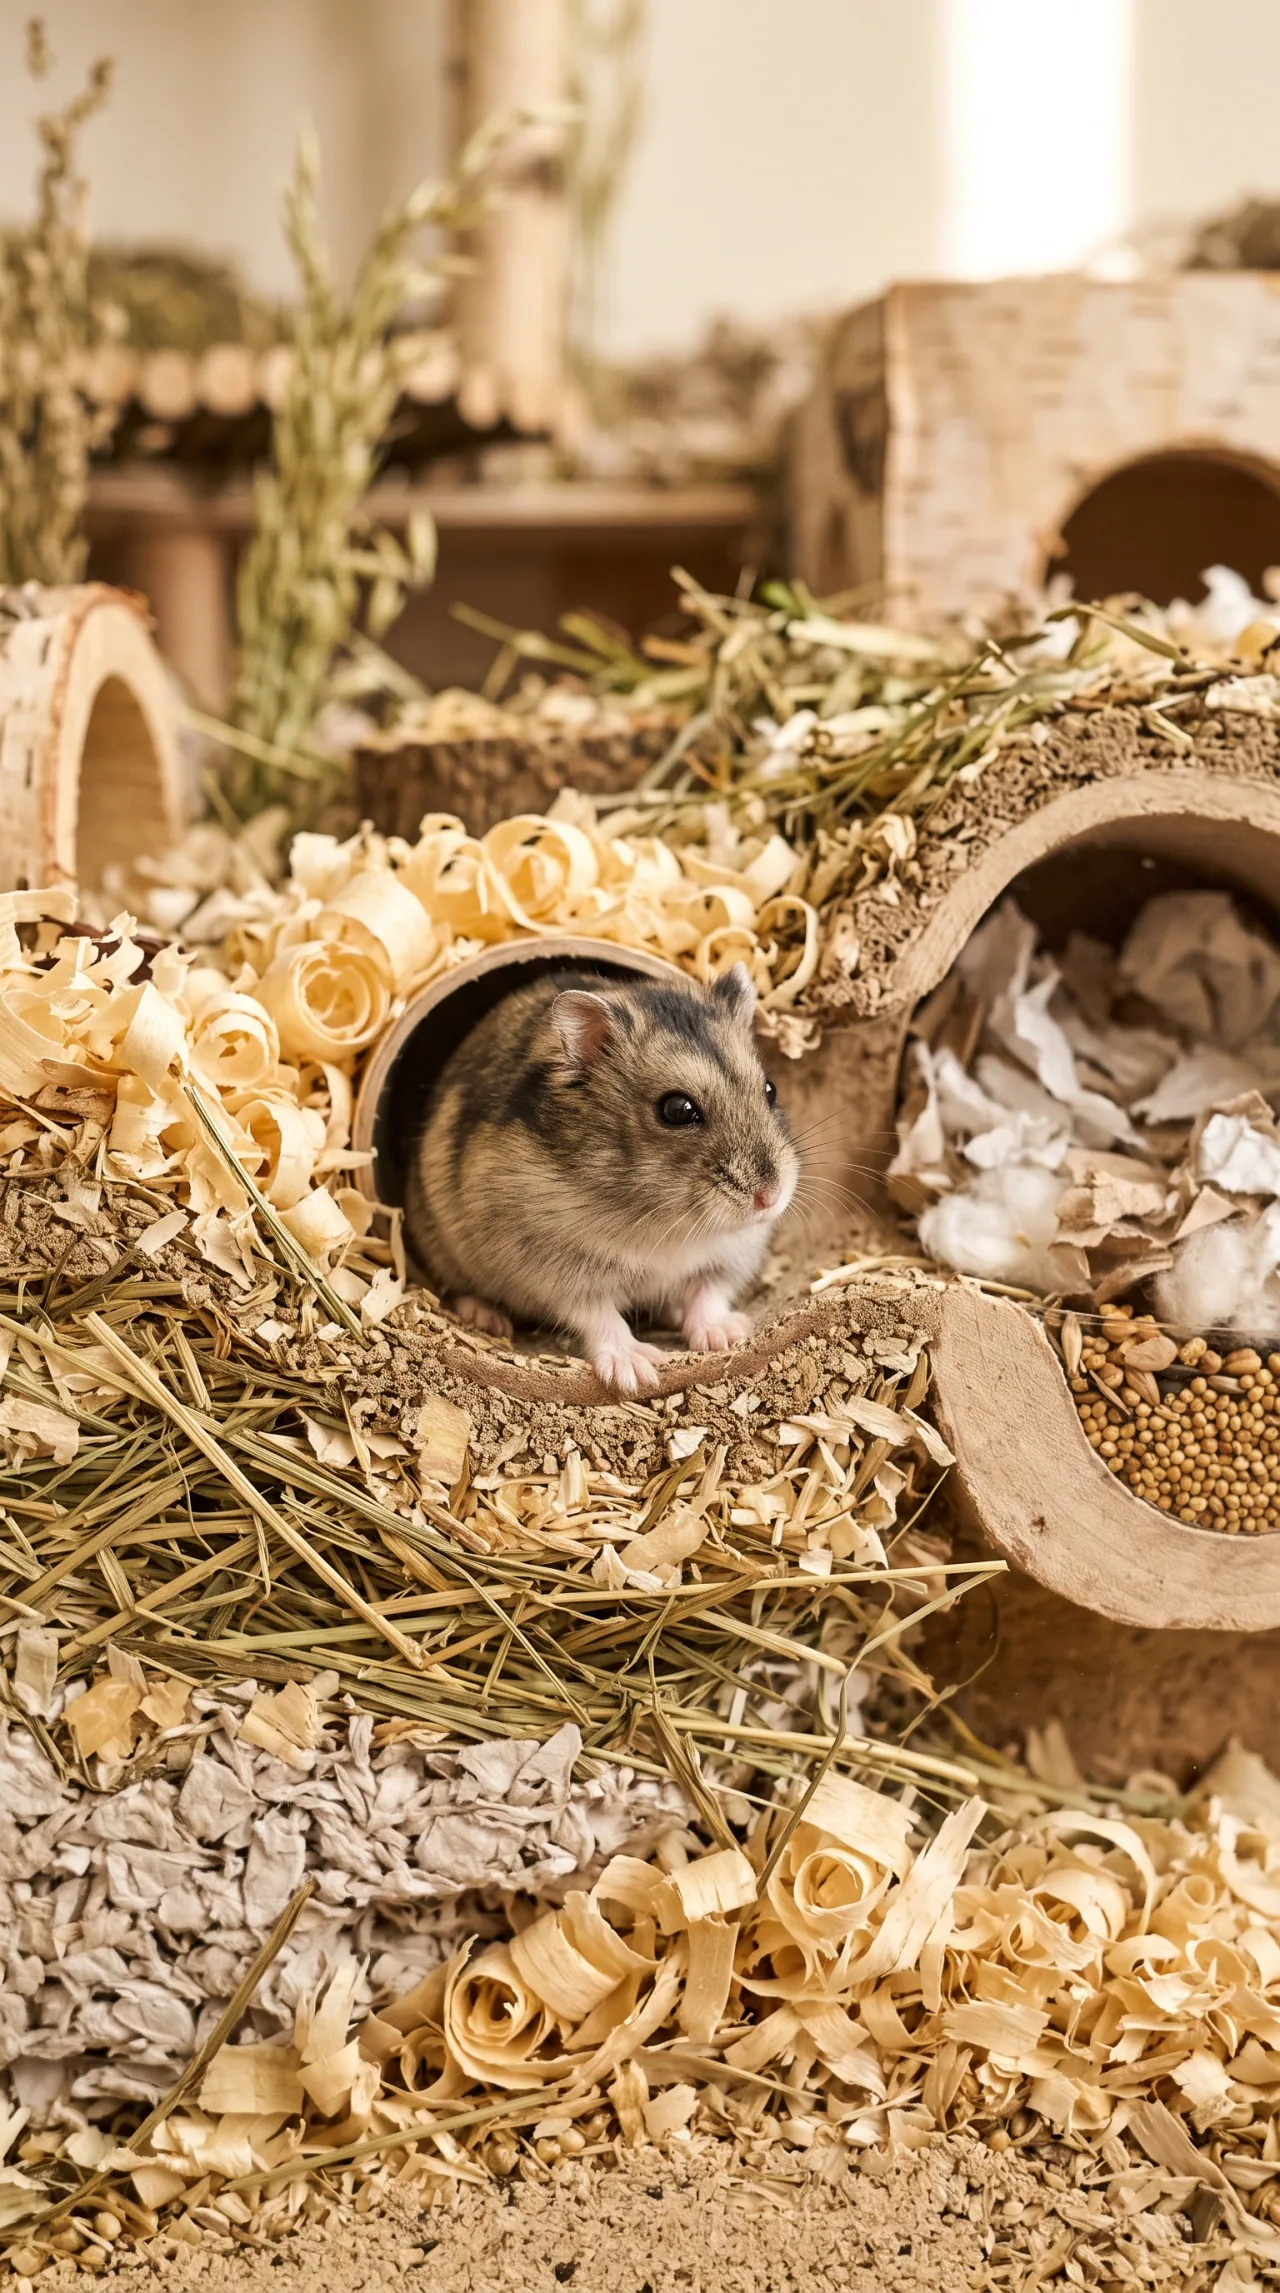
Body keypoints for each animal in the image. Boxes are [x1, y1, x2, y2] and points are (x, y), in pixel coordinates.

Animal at [404, 962, 798, 1394]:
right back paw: (487, 1317)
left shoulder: (730, 1256)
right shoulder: (555, 1270)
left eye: (770, 1089)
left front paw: (726, 1336)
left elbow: (708, 1294)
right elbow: (598, 1315)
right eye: (677, 1109)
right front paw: (638, 1373)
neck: (671, 1221)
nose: (769, 1198)